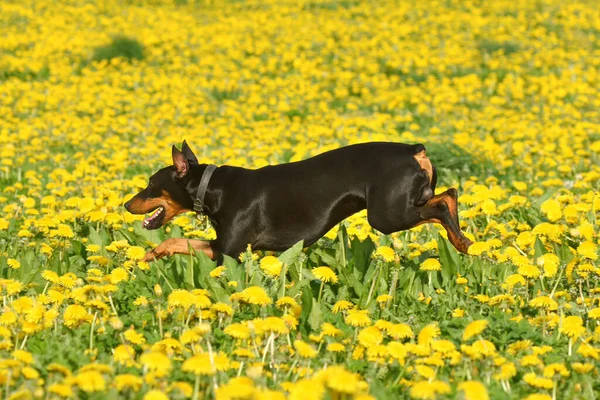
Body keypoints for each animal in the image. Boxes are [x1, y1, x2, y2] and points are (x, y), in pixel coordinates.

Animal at [125, 141, 474, 262]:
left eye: (151, 184)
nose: (127, 205)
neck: (212, 188)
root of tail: (415, 150)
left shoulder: (229, 252)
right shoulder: (226, 247)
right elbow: (176, 242)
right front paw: (150, 255)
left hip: (387, 215)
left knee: (444, 201)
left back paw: (461, 242)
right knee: (449, 195)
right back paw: (465, 242)